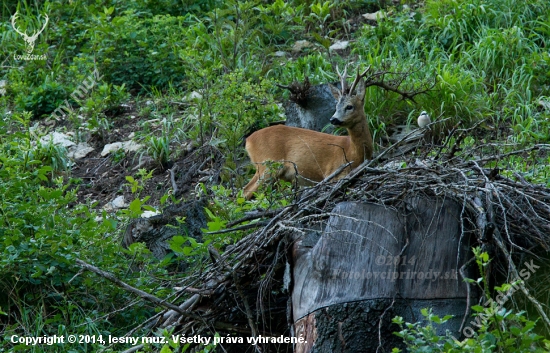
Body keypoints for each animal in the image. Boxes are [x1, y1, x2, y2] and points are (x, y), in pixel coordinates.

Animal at [243, 66, 376, 198]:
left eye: (349, 106)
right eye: (336, 106)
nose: (333, 119)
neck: (353, 152)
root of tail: (248, 140)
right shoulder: (333, 172)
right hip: (267, 164)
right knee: (246, 190)